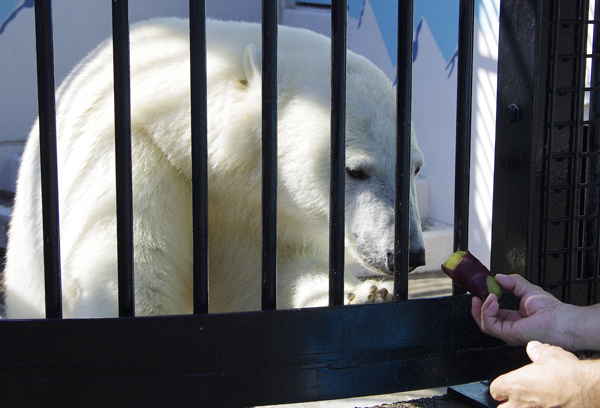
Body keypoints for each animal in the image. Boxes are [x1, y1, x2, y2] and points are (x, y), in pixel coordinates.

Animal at [4, 18, 426, 318]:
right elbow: (134, 271)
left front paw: (365, 294)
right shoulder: (133, 161)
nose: (407, 255)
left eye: (416, 168)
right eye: (356, 170)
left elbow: (278, 272)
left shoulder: (258, 213)